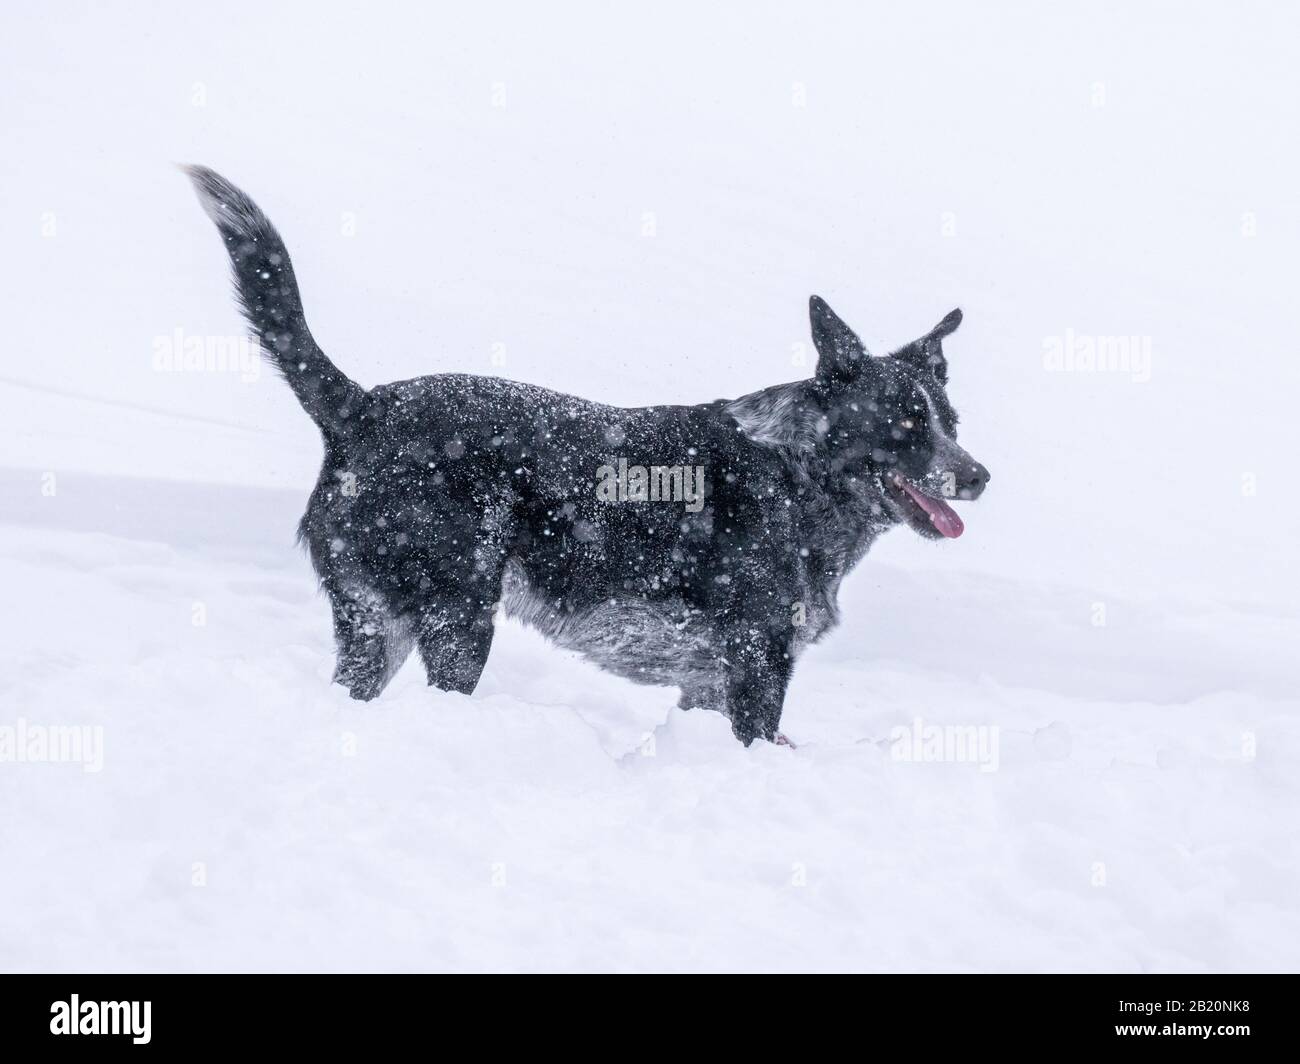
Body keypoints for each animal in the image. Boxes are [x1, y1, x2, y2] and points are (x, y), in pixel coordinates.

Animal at [185, 167, 982, 744]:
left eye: (949, 420)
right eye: (905, 424)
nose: (979, 475)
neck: (795, 472)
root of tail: (362, 405)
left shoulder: (708, 681)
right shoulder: (757, 661)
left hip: (377, 626)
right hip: (459, 618)